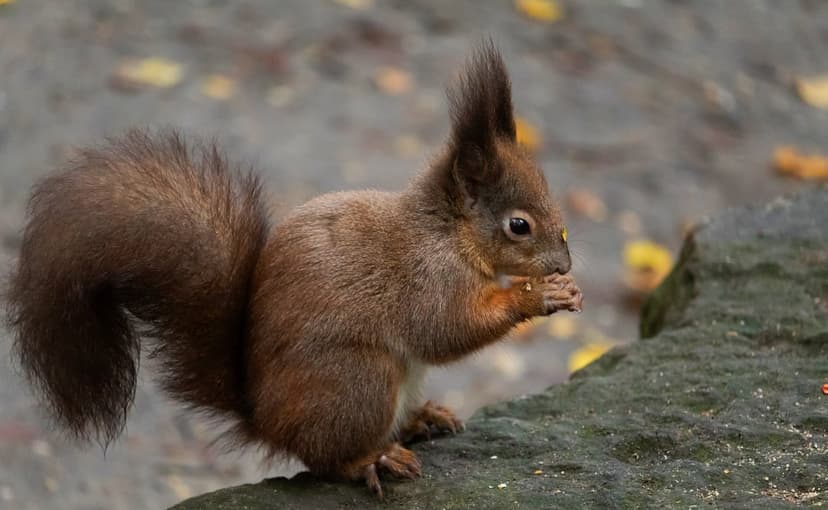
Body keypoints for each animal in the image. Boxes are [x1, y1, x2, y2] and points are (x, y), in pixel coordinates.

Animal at [5, 43, 582, 498]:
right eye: (519, 225)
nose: (563, 263)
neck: (446, 231)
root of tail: (267, 421)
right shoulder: (425, 277)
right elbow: (444, 330)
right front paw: (535, 294)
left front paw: (564, 288)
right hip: (358, 378)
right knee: (325, 459)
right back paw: (372, 458)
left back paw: (423, 419)